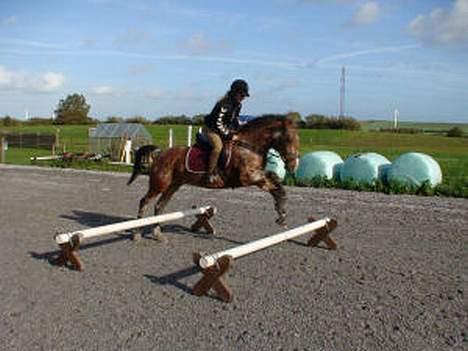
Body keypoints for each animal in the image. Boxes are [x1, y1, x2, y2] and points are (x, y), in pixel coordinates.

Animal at [127, 114, 300, 241]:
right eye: (288, 139)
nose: (293, 165)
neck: (249, 146)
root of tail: (159, 153)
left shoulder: (257, 176)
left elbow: (276, 185)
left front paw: (282, 214)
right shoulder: (248, 177)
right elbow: (273, 182)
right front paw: (281, 212)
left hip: (173, 186)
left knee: (159, 206)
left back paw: (158, 234)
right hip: (160, 184)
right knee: (144, 202)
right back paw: (136, 234)